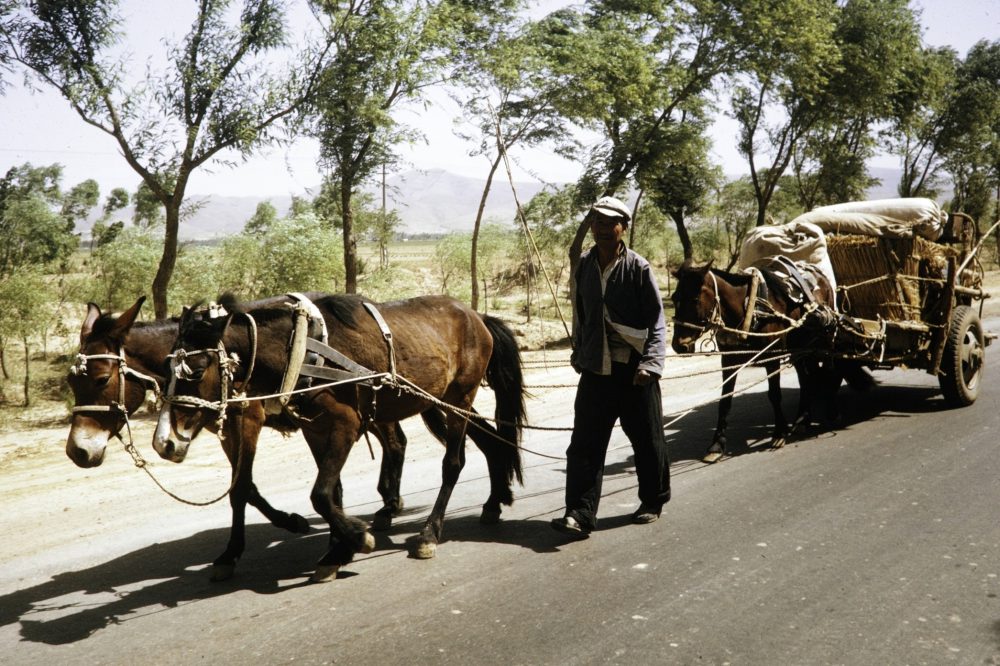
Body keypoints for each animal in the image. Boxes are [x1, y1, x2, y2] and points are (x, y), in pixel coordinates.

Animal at [66, 294, 410, 580]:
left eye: (101, 379)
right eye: (71, 381)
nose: (77, 452)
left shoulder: (247, 423)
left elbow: (241, 488)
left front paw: (236, 552)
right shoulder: (226, 433)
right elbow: (244, 488)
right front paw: (293, 523)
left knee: (394, 441)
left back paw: (388, 506)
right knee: (396, 441)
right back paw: (388, 505)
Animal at [153, 294, 528, 580]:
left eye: (196, 371)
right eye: (164, 371)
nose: (163, 443)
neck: (301, 350)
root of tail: (475, 315)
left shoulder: (345, 425)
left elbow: (319, 494)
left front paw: (357, 539)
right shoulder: (315, 430)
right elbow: (330, 490)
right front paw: (337, 550)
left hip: (459, 399)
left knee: (453, 463)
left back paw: (429, 533)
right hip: (442, 400)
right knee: (490, 441)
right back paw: (494, 501)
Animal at [668, 260, 840, 462]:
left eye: (695, 299)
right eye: (674, 298)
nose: (679, 345)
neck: (749, 310)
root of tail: (820, 275)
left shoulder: (772, 356)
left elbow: (774, 395)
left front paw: (779, 434)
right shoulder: (729, 359)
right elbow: (725, 401)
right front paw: (717, 445)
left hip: (824, 340)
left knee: (829, 370)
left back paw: (831, 411)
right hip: (800, 348)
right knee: (806, 378)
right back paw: (802, 420)